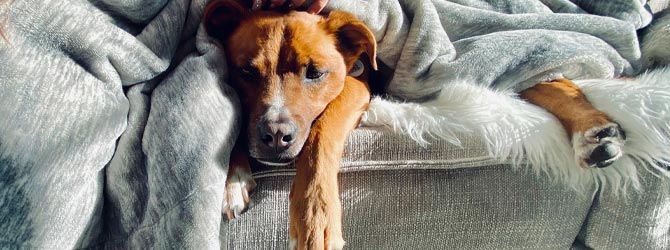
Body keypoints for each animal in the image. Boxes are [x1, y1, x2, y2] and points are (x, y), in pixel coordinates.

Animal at [202, 1, 628, 248]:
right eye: (244, 72)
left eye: (316, 73)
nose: (276, 136)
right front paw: (232, 177)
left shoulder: (356, 83)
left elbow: (319, 139)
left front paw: (315, 219)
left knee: (544, 74)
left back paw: (594, 130)